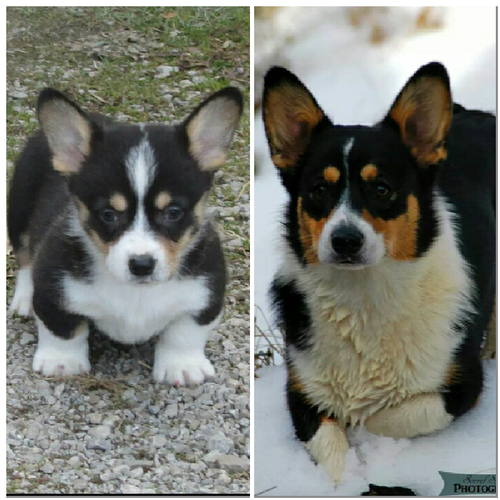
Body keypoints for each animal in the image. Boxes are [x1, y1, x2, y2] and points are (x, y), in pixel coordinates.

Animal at [7, 86, 242, 384]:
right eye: (108, 214)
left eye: (173, 212)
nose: (141, 265)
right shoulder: (53, 286)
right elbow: (64, 328)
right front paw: (62, 362)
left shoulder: (206, 291)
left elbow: (185, 332)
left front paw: (182, 366)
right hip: (18, 209)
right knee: (25, 258)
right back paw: (25, 298)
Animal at [262, 61, 496, 480]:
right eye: (319, 189)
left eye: (382, 188)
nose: (345, 241)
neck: (363, 296)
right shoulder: (301, 392)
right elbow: (332, 451)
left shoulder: (462, 386)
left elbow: (385, 416)